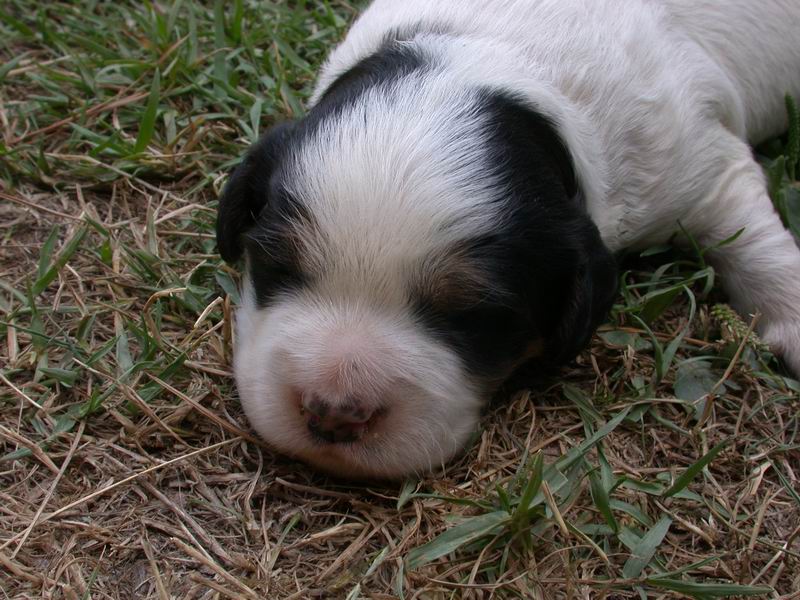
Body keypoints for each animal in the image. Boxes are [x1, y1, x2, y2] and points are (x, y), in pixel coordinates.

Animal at [216, 0, 800, 478]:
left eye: (473, 311)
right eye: (276, 262)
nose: (334, 414)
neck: (497, 52)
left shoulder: (699, 165)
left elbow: (753, 238)